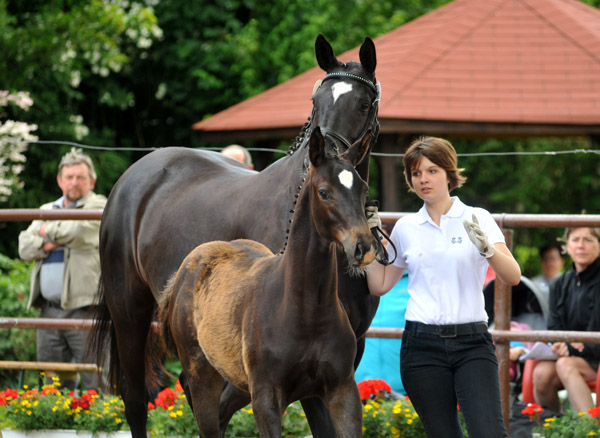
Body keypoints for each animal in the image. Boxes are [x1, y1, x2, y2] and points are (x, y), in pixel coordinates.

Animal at [158, 127, 376, 438]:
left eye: (363, 190)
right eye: (324, 192)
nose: (363, 248)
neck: (305, 312)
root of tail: (183, 271)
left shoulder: (342, 389)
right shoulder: (266, 396)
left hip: (237, 381)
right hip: (202, 374)